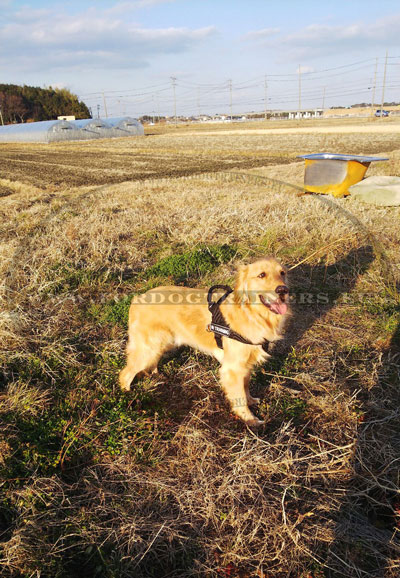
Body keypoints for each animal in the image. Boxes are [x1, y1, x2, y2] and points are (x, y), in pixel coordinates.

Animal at [119, 256, 290, 424]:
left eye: (282, 273)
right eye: (262, 275)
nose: (283, 290)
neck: (252, 313)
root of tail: (138, 298)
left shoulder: (245, 364)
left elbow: (246, 387)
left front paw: (251, 401)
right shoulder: (233, 369)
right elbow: (239, 397)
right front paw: (249, 420)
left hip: (160, 345)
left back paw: (155, 375)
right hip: (148, 348)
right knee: (125, 374)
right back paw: (127, 399)